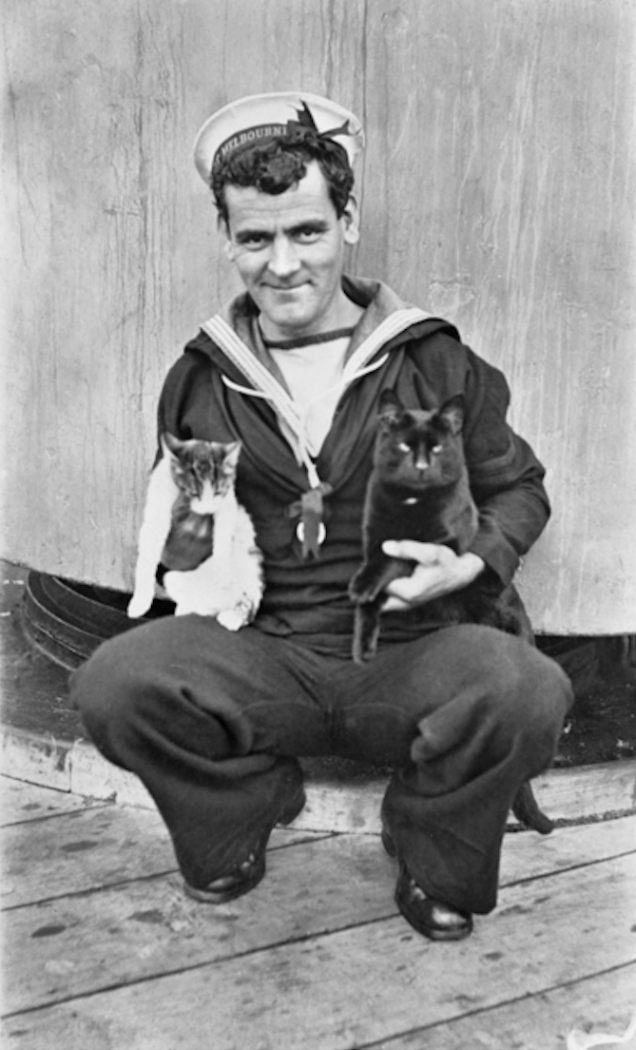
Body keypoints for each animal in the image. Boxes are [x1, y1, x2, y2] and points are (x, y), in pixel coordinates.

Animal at [128, 430, 263, 625]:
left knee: (248, 598)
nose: (206, 509)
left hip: (249, 562)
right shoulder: (157, 506)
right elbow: (147, 555)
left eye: (218, 491)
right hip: (173, 578)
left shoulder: (228, 504)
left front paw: (222, 571)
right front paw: (140, 602)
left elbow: (223, 539)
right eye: (193, 492)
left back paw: (232, 616)